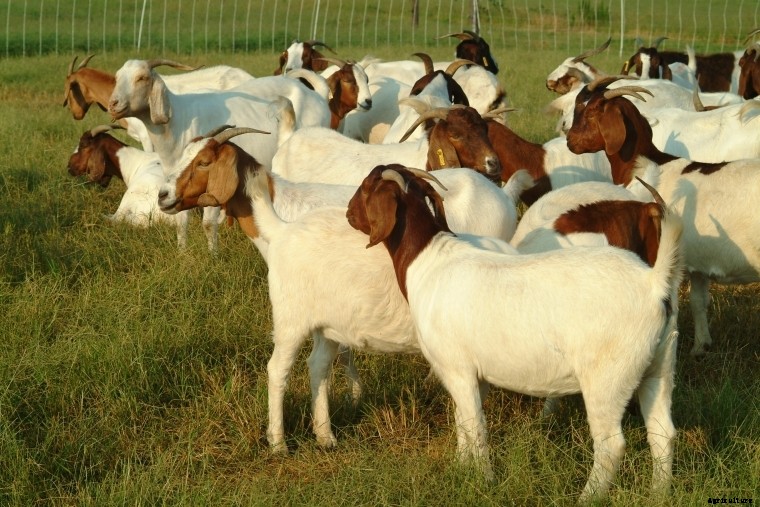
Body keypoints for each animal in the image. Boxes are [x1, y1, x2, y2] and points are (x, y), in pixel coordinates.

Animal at [346, 164, 683, 501]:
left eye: (366, 187)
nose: (349, 213)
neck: (427, 260)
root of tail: (653, 283)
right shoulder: (474, 375)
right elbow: (463, 422)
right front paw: (461, 468)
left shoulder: (456, 368)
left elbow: (476, 427)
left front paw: (484, 482)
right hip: (659, 364)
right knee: (662, 433)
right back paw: (659, 494)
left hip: (608, 377)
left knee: (611, 444)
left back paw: (588, 498)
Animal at [566, 77, 760, 356]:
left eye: (591, 111)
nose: (570, 141)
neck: (647, 166)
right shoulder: (698, 263)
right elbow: (699, 302)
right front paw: (700, 347)